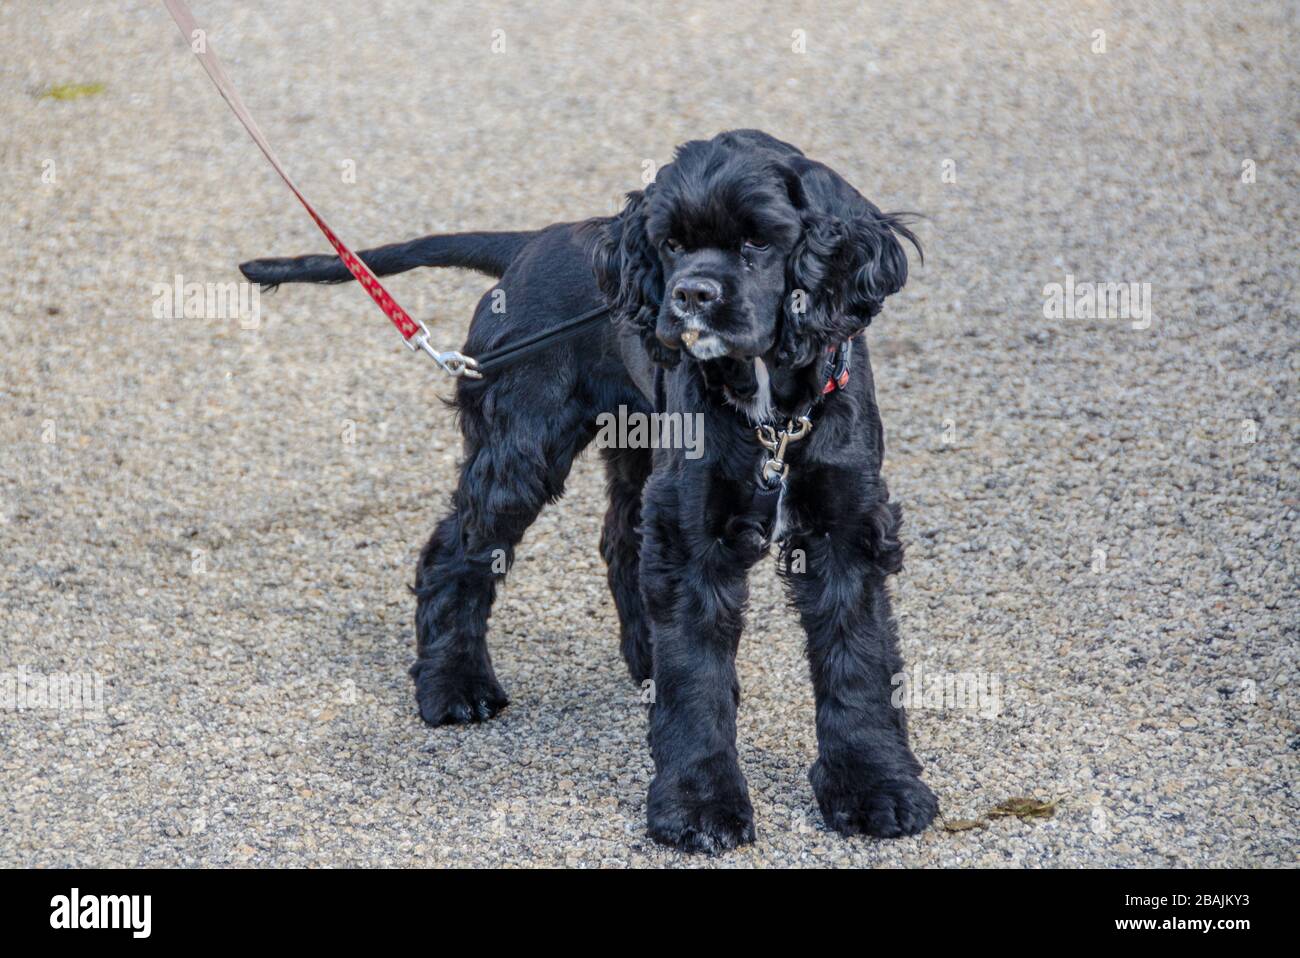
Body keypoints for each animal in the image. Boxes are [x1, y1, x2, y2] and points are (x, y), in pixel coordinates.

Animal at [241, 128, 935, 852]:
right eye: (671, 244)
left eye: (758, 241)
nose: (689, 297)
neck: (770, 402)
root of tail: (529, 243)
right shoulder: (695, 538)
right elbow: (699, 677)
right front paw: (699, 806)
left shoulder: (844, 530)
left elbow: (857, 661)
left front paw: (876, 789)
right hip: (523, 445)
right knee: (454, 552)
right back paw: (453, 685)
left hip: (634, 441)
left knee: (619, 542)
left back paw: (641, 660)